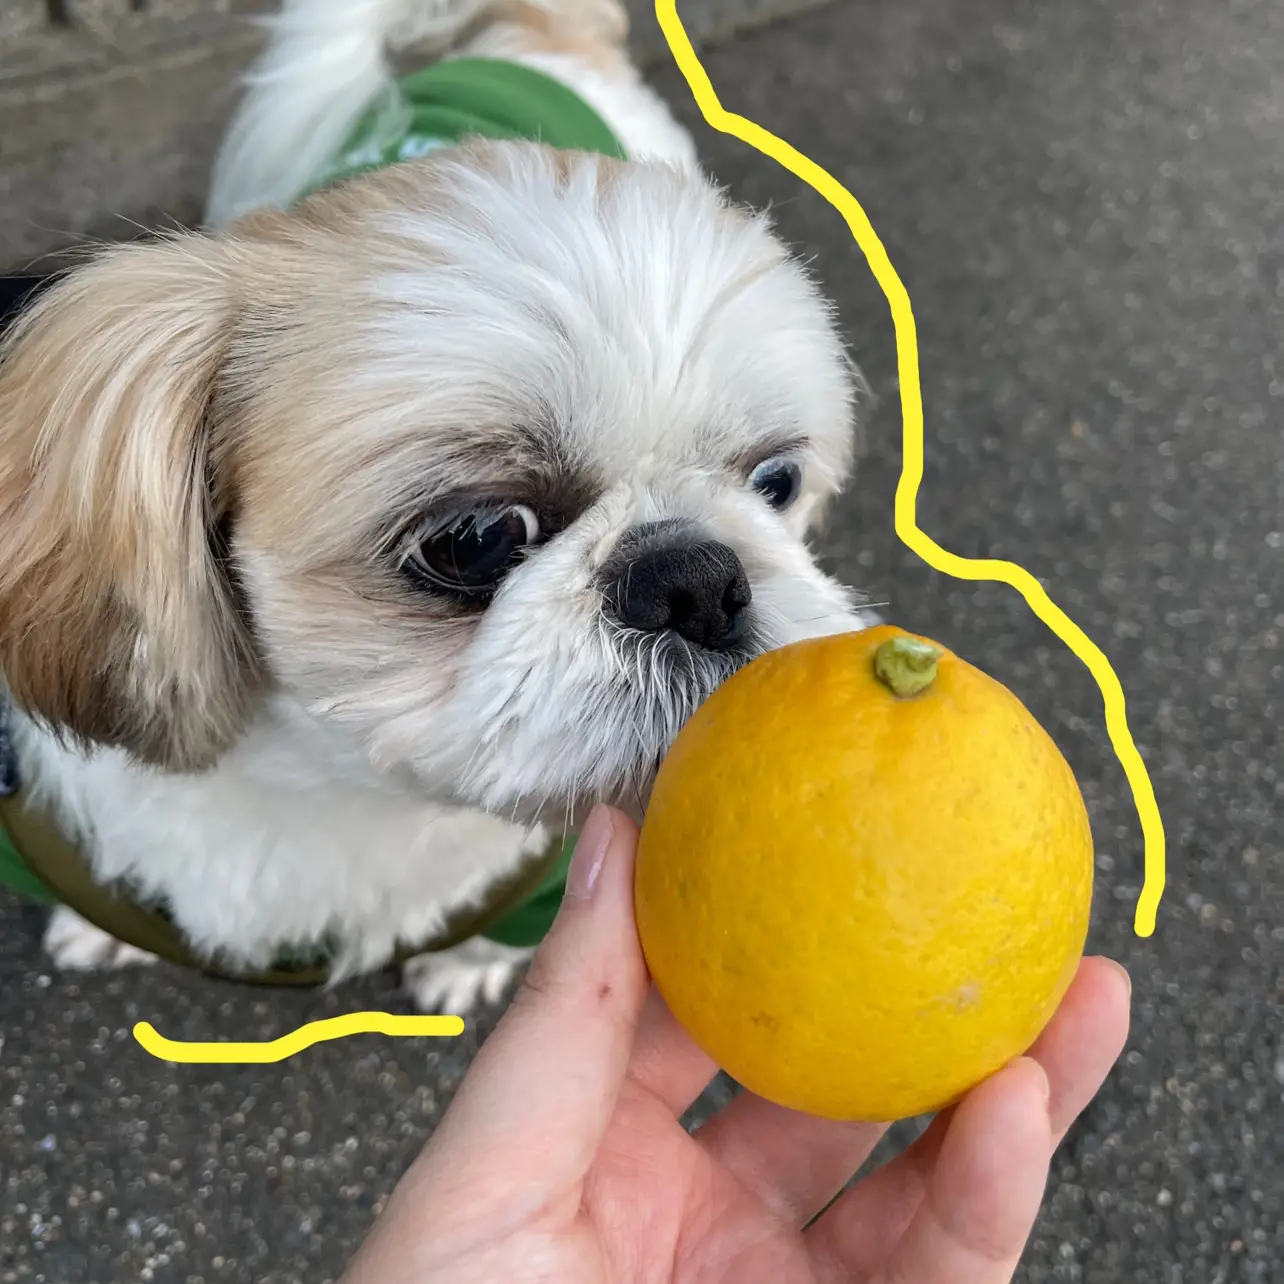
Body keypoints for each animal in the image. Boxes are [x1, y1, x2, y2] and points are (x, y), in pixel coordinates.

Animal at [0, 0, 873, 1011]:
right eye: (476, 539)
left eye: (775, 484)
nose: (697, 577)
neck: (345, 789)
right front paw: (99, 926)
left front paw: (464, 965)